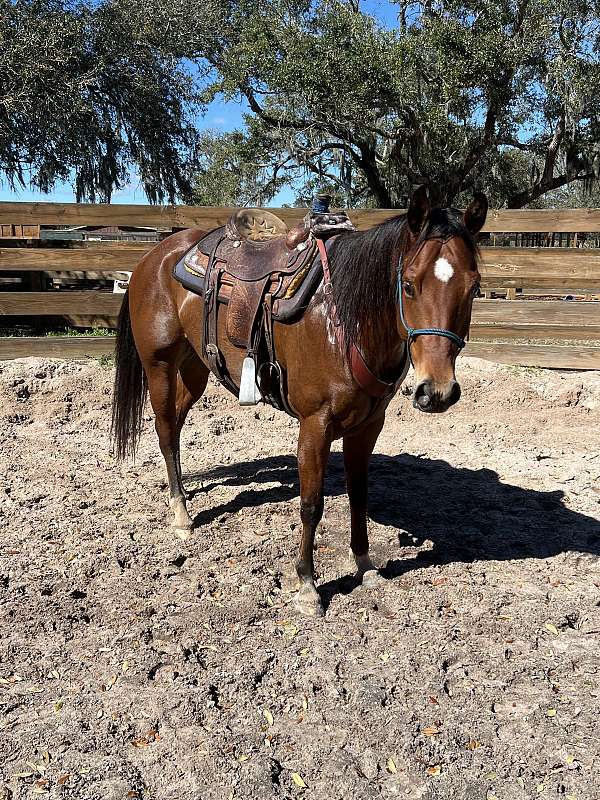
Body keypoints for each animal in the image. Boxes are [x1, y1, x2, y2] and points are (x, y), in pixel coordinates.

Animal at [111, 188, 488, 620]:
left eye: (474, 287)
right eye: (408, 285)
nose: (437, 391)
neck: (345, 321)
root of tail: (153, 256)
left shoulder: (367, 427)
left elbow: (359, 495)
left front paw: (365, 566)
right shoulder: (315, 425)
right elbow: (311, 504)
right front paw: (307, 585)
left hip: (196, 367)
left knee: (175, 426)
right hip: (158, 365)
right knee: (164, 430)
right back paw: (180, 514)